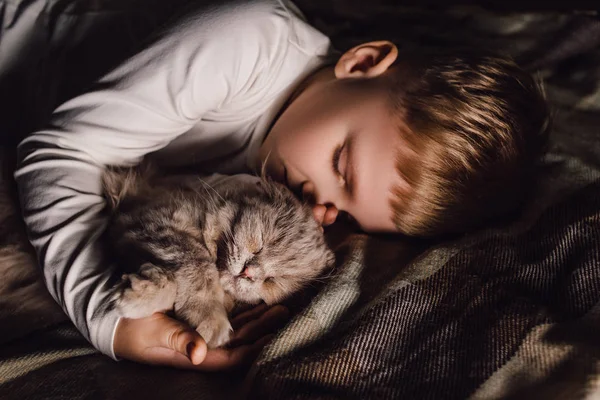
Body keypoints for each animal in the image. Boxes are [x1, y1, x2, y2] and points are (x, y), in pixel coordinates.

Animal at [104, 165, 338, 346]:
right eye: (260, 245)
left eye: (273, 280)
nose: (248, 273)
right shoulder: (150, 222)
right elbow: (199, 265)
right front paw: (206, 314)